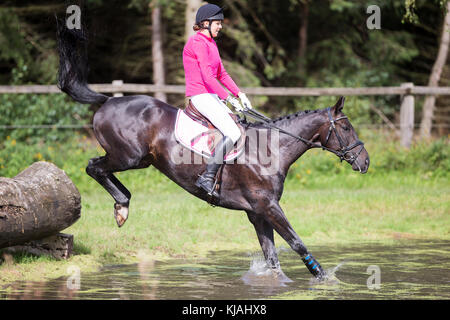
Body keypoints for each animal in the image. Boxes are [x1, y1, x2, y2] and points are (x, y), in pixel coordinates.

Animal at [56, 23, 370, 280]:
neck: (271, 149)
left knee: (101, 169)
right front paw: (323, 279)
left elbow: (272, 257)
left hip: (141, 160)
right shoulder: (268, 206)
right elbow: (297, 242)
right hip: (128, 156)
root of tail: (108, 101)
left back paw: (122, 205)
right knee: (94, 166)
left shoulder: (257, 212)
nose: (365, 162)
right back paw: (122, 205)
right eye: (346, 128)